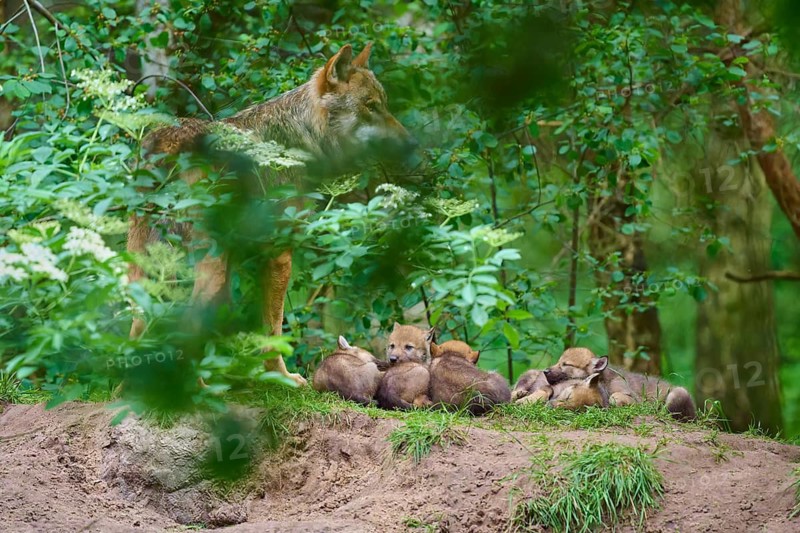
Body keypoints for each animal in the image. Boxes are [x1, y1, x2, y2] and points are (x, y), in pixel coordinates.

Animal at [127, 43, 417, 386]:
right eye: (370, 106)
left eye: (384, 104)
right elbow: (274, 328)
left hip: (144, 269)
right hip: (206, 268)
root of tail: (167, 143)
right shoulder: (279, 253)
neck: (302, 135)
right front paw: (283, 377)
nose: (412, 143)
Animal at [542, 347, 696, 420]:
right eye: (558, 361)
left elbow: (614, 397)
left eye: (565, 364)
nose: (545, 371)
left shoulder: (635, 399)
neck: (604, 380)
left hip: (678, 393)